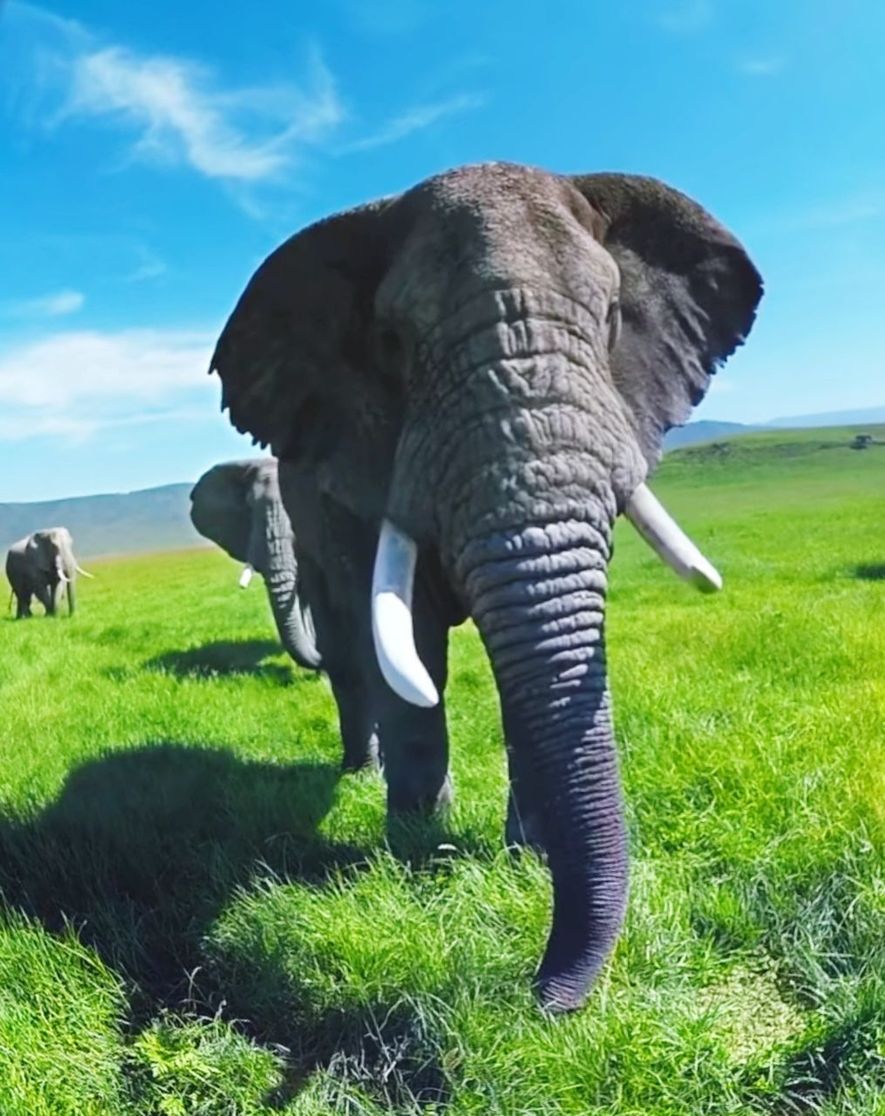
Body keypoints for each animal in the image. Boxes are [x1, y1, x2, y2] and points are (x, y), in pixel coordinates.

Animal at [210, 162, 763, 1013]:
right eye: (392, 344)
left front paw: (524, 855)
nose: (540, 1001)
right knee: (350, 646)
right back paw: (358, 773)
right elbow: (411, 648)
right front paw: (417, 852)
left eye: (610, 320)